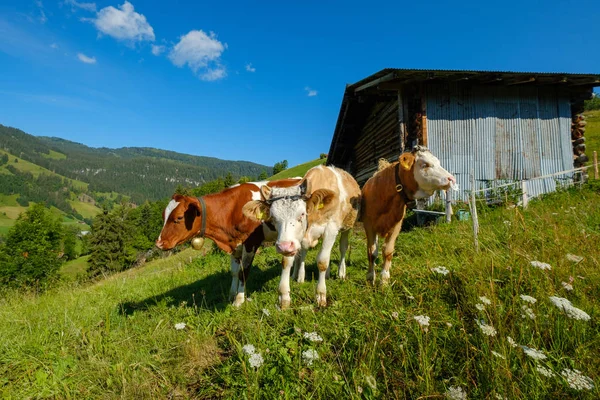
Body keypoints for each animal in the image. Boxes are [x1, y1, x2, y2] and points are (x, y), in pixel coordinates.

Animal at [156, 178, 302, 306]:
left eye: (179, 217)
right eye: (164, 216)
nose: (159, 243)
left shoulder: (251, 243)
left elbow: (244, 272)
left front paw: (239, 300)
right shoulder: (234, 245)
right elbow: (234, 272)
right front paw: (231, 295)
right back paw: (297, 277)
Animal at [240, 164, 360, 308]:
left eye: (302, 214)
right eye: (273, 217)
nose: (283, 246)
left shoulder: (331, 228)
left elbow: (322, 261)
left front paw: (321, 295)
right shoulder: (292, 239)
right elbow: (287, 261)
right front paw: (284, 296)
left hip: (346, 227)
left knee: (342, 248)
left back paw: (341, 273)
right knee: (303, 252)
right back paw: (300, 276)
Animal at [360, 145, 454, 286]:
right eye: (425, 164)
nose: (452, 179)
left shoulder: (396, 226)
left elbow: (388, 251)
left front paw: (384, 279)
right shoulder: (369, 225)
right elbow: (371, 252)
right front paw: (371, 278)